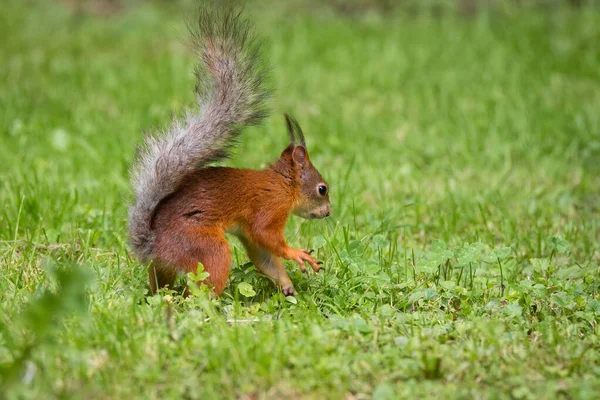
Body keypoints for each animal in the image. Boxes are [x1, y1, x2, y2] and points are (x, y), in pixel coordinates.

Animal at [128, 4, 330, 296]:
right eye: (322, 189)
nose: (328, 213)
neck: (284, 184)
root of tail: (152, 243)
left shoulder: (248, 232)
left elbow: (265, 258)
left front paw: (288, 287)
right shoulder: (270, 207)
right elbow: (267, 236)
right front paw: (296, 254)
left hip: (164, 267)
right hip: (207, 248)